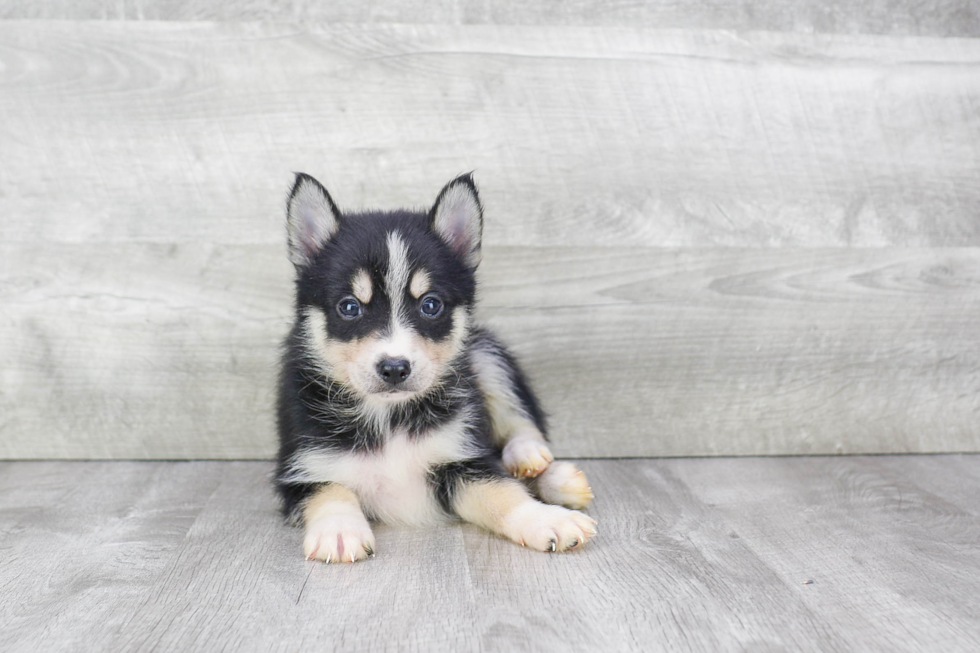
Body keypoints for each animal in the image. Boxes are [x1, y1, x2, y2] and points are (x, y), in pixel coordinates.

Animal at [276, 172, 596, 560]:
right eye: (349, 307)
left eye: (430, 305)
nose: (395, 368)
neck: (389, 418)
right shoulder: (300, 469)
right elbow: (331, 489)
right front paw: (338, 530)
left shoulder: (461, 458)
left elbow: (501, 491)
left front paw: (545, 519)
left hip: (484, 351)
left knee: (517, 428)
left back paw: (537, 462)